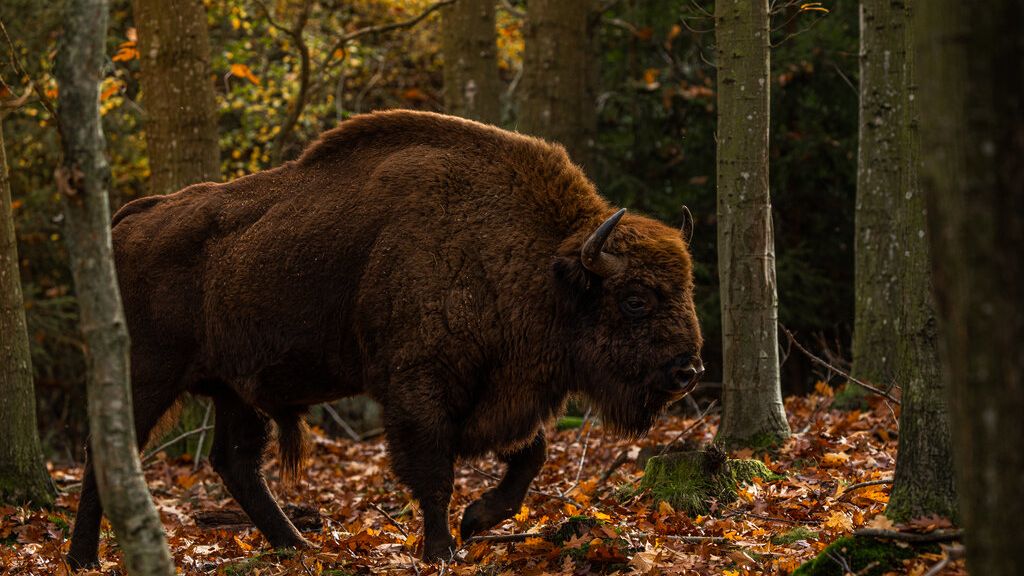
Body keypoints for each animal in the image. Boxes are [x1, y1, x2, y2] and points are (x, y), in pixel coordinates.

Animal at [66, 110, 704, 566]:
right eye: (635, 298)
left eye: (687, 286)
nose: (688, 370)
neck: (540, 264)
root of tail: (132, 219)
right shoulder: (419, 390)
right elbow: (435, 472)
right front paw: (444, 549)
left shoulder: (503, 393)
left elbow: (531, 454)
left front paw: (478, 520)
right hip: (148, 374)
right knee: (110, 454)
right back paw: (82, 559)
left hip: (232, 390)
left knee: (235, 461)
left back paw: (297, 545)